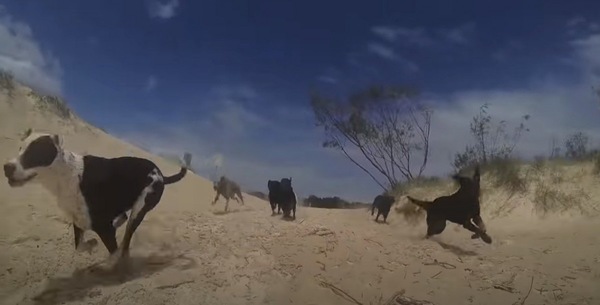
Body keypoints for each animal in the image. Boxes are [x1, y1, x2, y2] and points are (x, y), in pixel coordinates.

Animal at [2, 128, 190, 266]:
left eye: (35, 153)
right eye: (20, 149)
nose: (6, 167)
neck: (66, 175)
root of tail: (161, 174)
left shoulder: (102, 226)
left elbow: (113, 255)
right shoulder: (79, 220)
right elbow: (79, 246)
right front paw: (92, 244)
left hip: (140, 209)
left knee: (127, 236)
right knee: (123, 218)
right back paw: (117, 224)